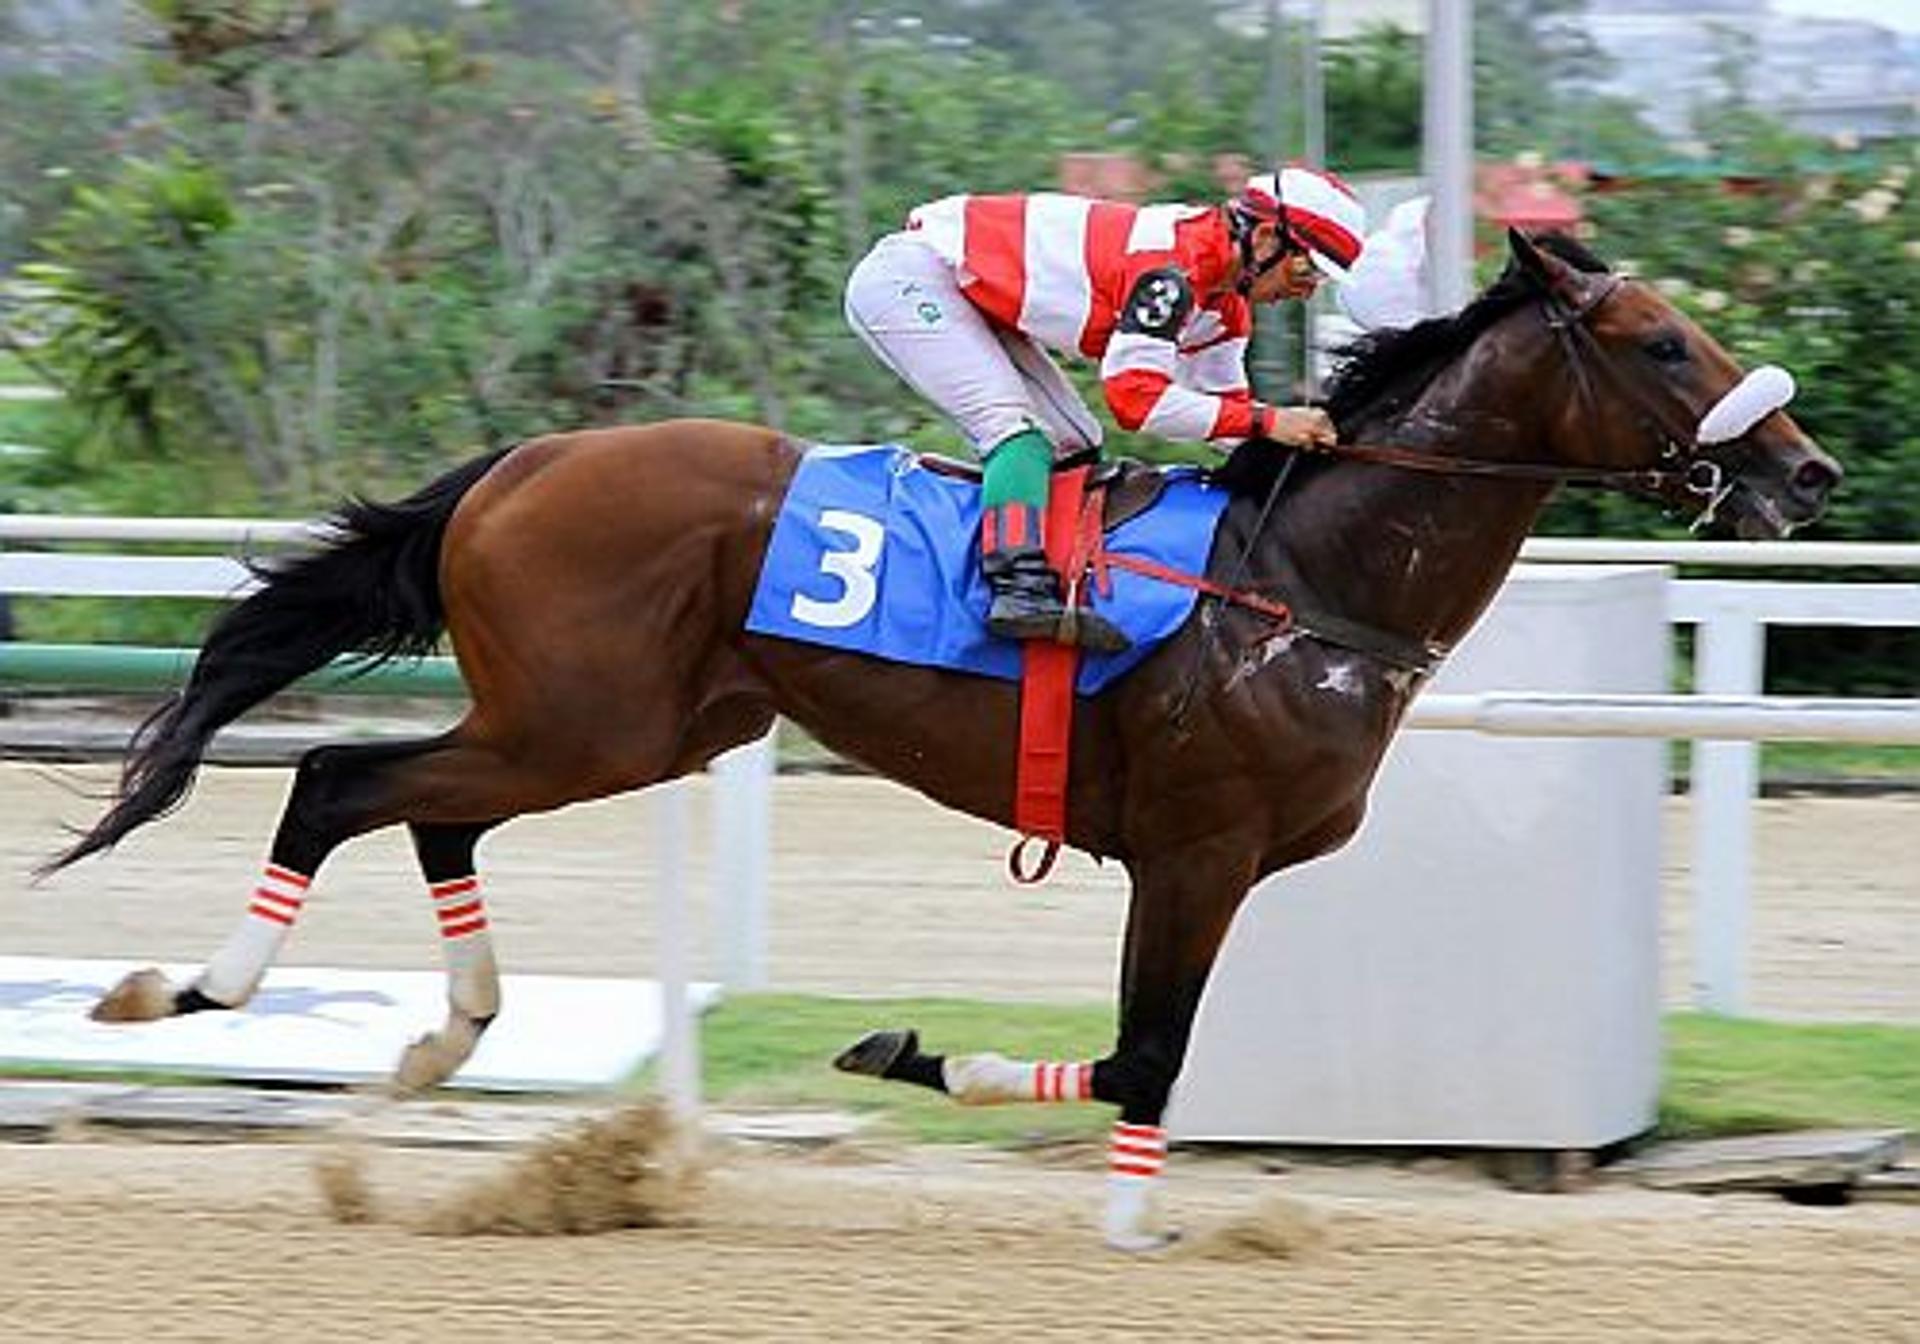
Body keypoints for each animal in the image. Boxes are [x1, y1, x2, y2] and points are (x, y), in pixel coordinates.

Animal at [52, 228, 1835, 1251]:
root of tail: (521, 461)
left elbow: (1135, 1049)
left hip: (627, 728)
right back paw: (194, 990)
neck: (1298, 584)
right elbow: (1149, 1051)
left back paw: (444, 1038)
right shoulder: (1197, 850)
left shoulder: (1214, 864)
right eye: (1663, 343)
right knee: (339, 778)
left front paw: (928, 1067)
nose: (1806, 475)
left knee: (427, 812)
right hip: (582, 719)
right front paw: (1101, 1205)